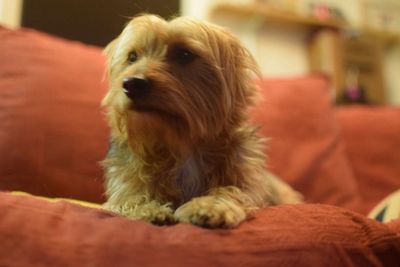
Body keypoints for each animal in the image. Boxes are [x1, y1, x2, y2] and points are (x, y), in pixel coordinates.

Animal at [101, 14, 302, 228]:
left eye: (184, 54)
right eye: (132, 57)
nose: (132, 83)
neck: (181, 144)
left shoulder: (245, 183)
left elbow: (231, 191)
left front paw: (209, 206)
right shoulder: (123, 189)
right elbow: (127, 199)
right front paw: (149, 209)